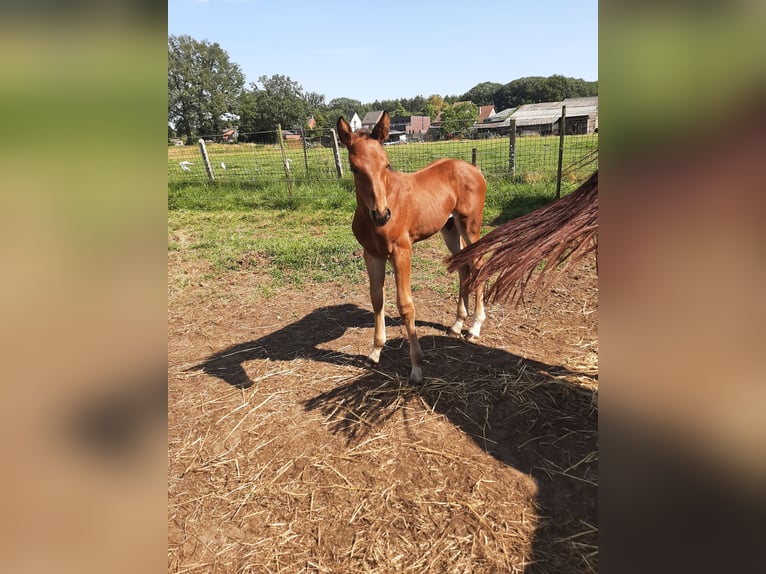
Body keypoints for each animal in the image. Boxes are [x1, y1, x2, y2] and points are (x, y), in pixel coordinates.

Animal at [340, 110, 488, 384]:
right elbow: (377, 298)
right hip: (450, 229)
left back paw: (474, 327)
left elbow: (405, 305)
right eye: (354, 168)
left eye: (386, 164)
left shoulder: (401, 251)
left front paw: (417, 367)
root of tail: (474, 169)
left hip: (470, 226)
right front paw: (375, 351)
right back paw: (456, 325)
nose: (382, 215)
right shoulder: (372, 254)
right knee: (464, 268)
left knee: (479, 265)